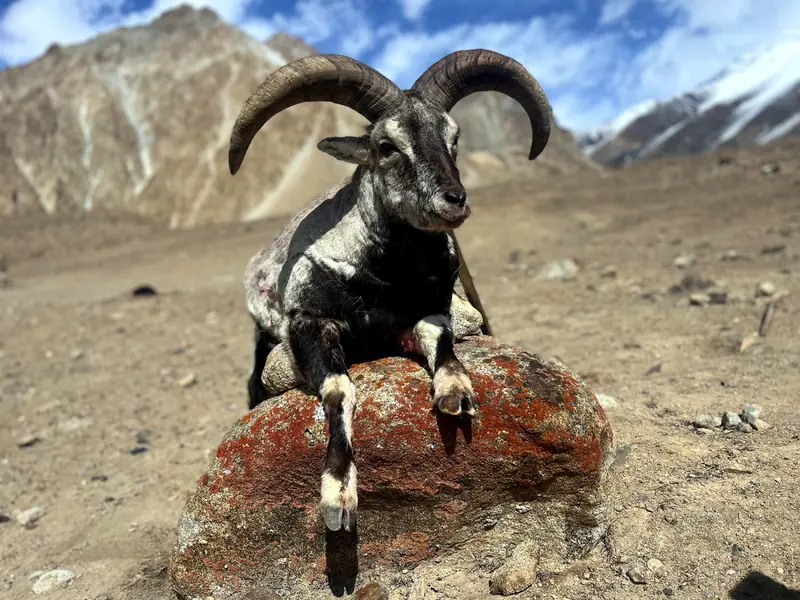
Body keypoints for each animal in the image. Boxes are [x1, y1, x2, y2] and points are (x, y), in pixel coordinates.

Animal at [228, 49, 552, 532]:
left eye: (454, 138)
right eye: (386, 147)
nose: (453, 200)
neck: (384, 278)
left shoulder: (427, 308)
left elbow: (438, 338)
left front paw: (456, 395)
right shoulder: (308, 324)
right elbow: (339, 390)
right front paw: (338, 497)